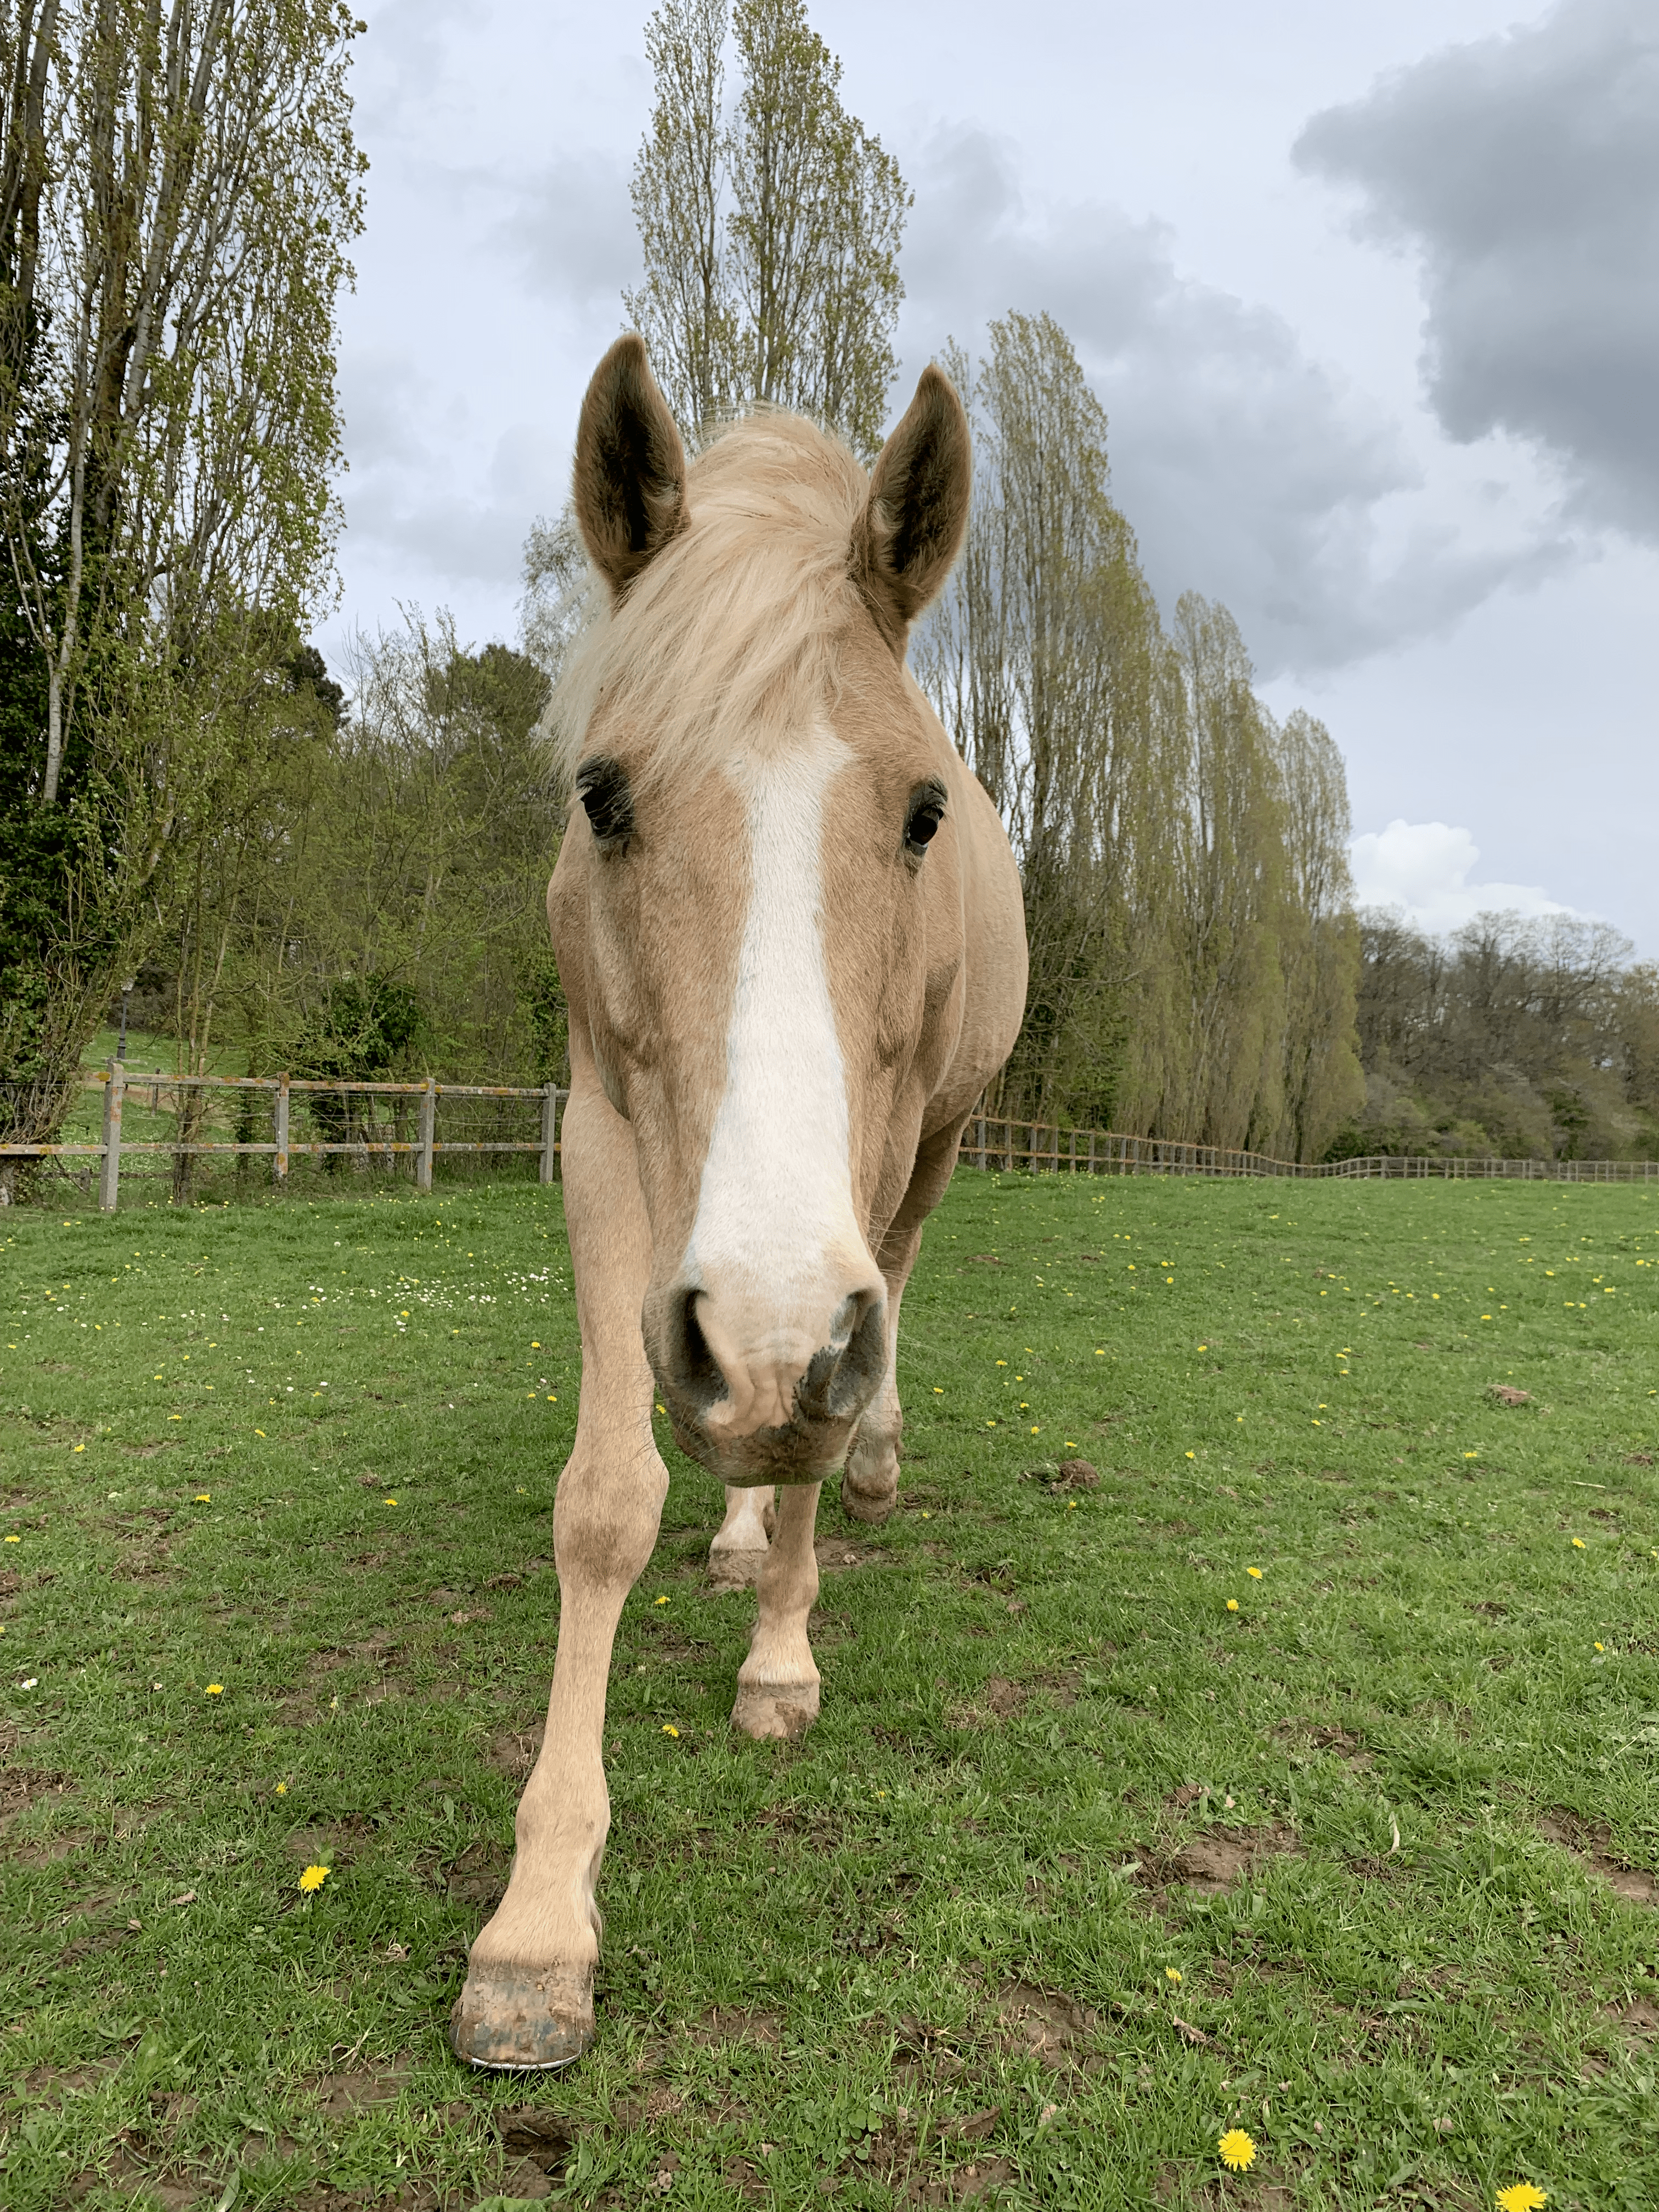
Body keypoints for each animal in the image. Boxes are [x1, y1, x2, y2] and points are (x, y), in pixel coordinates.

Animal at [449, 336, 1035, 2061]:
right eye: (602, 797)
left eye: (920, 811)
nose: (771, 1345)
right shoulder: (603, 1137)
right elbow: (602, 1504)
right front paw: (536, 1927)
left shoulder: (867, 1190)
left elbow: (835, 1397)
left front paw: (780, 1659)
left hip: (928, 1160)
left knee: (890, 1318)